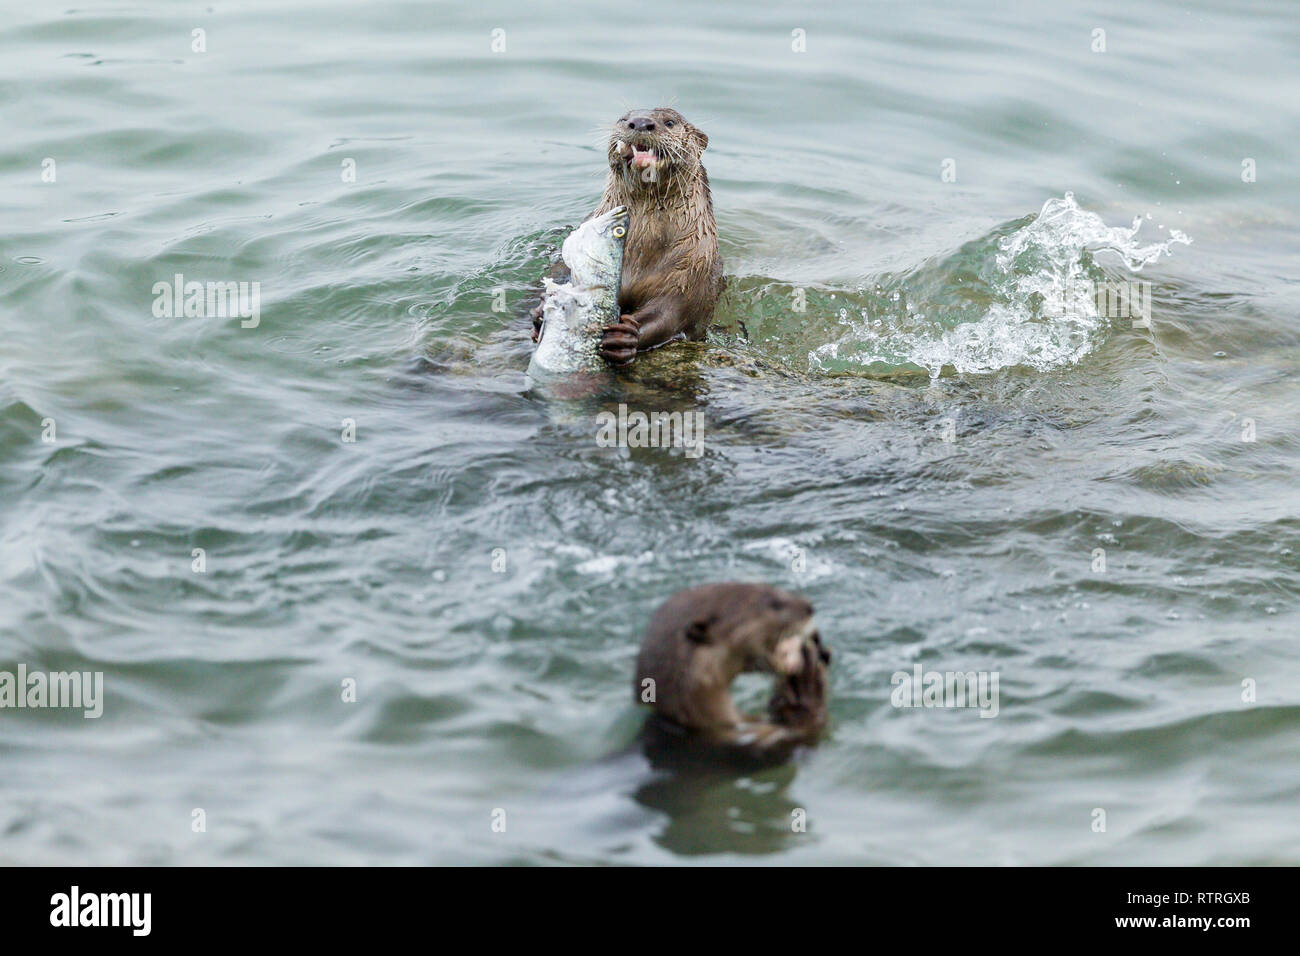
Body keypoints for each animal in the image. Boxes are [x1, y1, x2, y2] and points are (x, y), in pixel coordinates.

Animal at [533, 108, 728, 369]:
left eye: (670, 122)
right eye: (624, 118)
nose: (641, 122)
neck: (642, 250)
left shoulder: (691, 272)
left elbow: (669, 314)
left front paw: (624, 337)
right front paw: (541, 310)